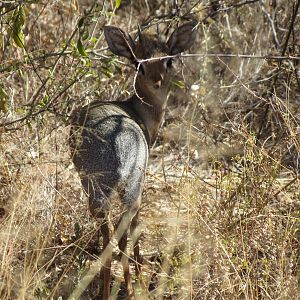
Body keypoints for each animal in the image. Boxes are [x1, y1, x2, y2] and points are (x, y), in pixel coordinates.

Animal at [69, 20, 197, 298]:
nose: (157, 81)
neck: (139, 113)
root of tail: (116, 147)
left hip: (96, 193)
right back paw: (130, 286)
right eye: (139, 63)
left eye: (168, 59)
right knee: (125, 228)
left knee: (108, 232)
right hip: (131, 189)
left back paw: (106, 290)